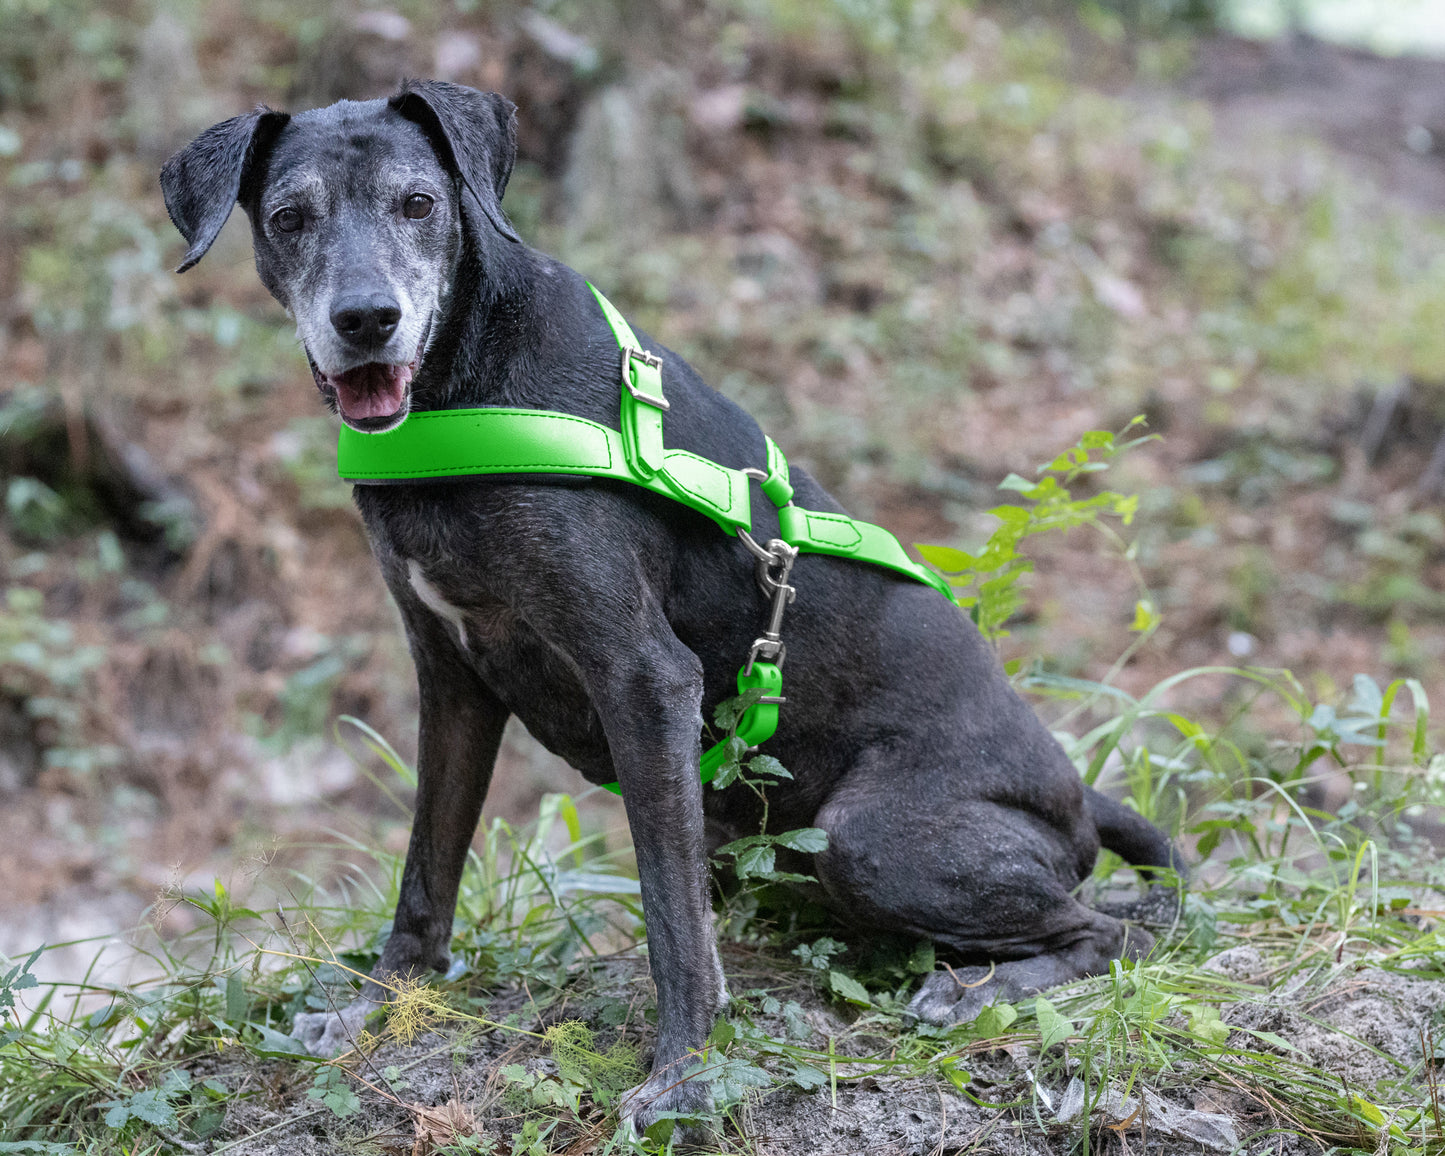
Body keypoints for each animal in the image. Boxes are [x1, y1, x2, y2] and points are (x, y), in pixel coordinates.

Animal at [161, 83, 1184, 1138]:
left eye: (418, 203)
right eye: (290, 217)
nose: (368, 319)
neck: (461, 384)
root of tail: (1078, 798)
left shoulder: (644, 678)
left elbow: (670, 918)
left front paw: (684, 1075)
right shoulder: (450, 679)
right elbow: (424, 872)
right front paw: (378, 1005)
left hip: (869, 836)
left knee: (1116, 933)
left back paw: (978, 989)